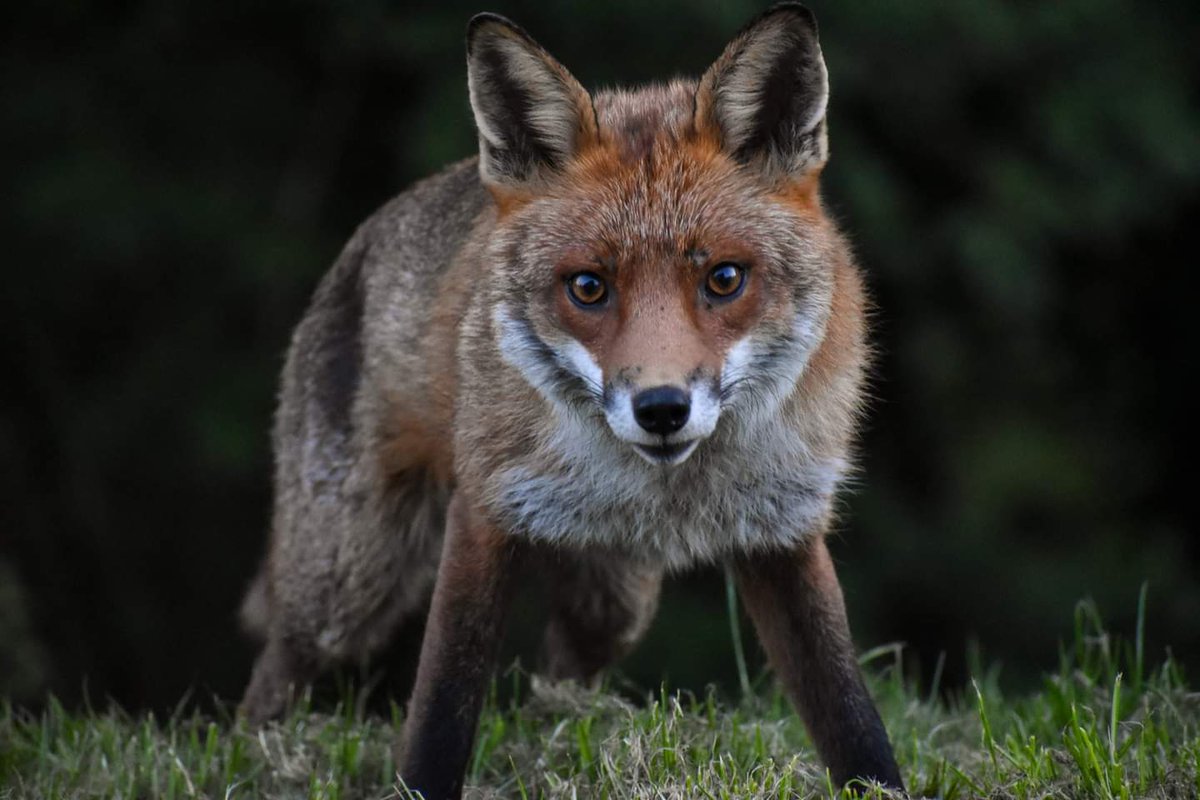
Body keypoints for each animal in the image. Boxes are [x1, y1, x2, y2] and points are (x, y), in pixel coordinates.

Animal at [239, 3, 904, 797]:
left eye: (724, 279)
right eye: (588, 287)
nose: (661, 408)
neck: (672, 488)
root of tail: (359, 243)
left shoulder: (783, 528)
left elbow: (851, 716)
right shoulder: (484, 511)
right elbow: (442, 707)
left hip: (612, 604)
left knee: (554, 682)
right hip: (347, 580)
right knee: (276, 667)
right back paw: (257, 755)